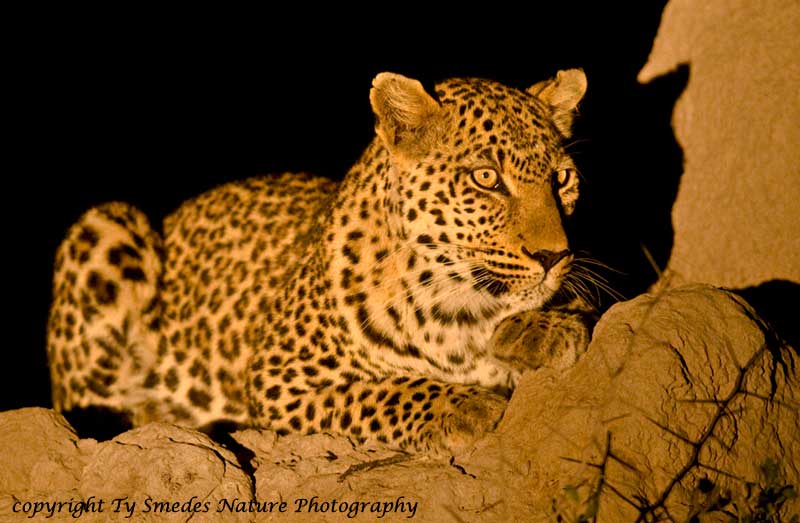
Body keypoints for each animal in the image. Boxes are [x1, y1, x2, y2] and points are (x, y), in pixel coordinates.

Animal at [46, 69, 592, 454]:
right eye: (486, 178)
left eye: (562, 179)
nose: (553, 255)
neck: (462, 304)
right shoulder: (280, 380)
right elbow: (381, 392)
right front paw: (462, 407)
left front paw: (543, 329)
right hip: (108, 226)